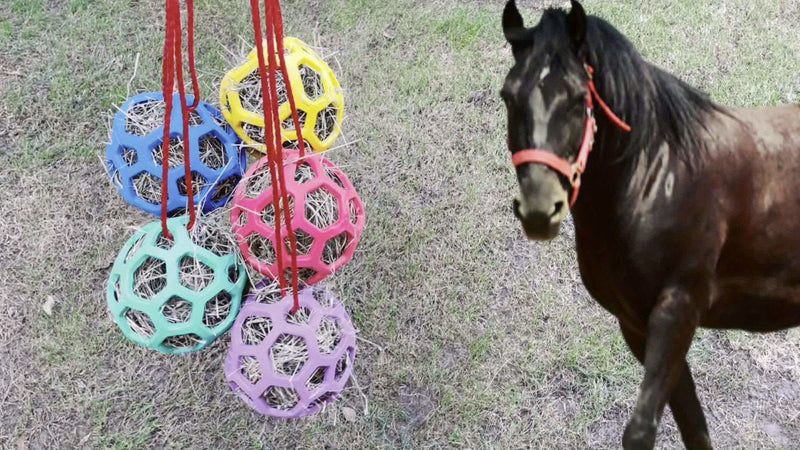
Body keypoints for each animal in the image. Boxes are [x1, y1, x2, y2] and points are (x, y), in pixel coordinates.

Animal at [500, 1, 800, 448]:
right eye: (508, 95)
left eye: (579, 97)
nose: (539, 209)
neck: (658, 179)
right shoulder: (636, 326)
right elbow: (691, 423)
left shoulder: (678, 312)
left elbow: (642, 430)